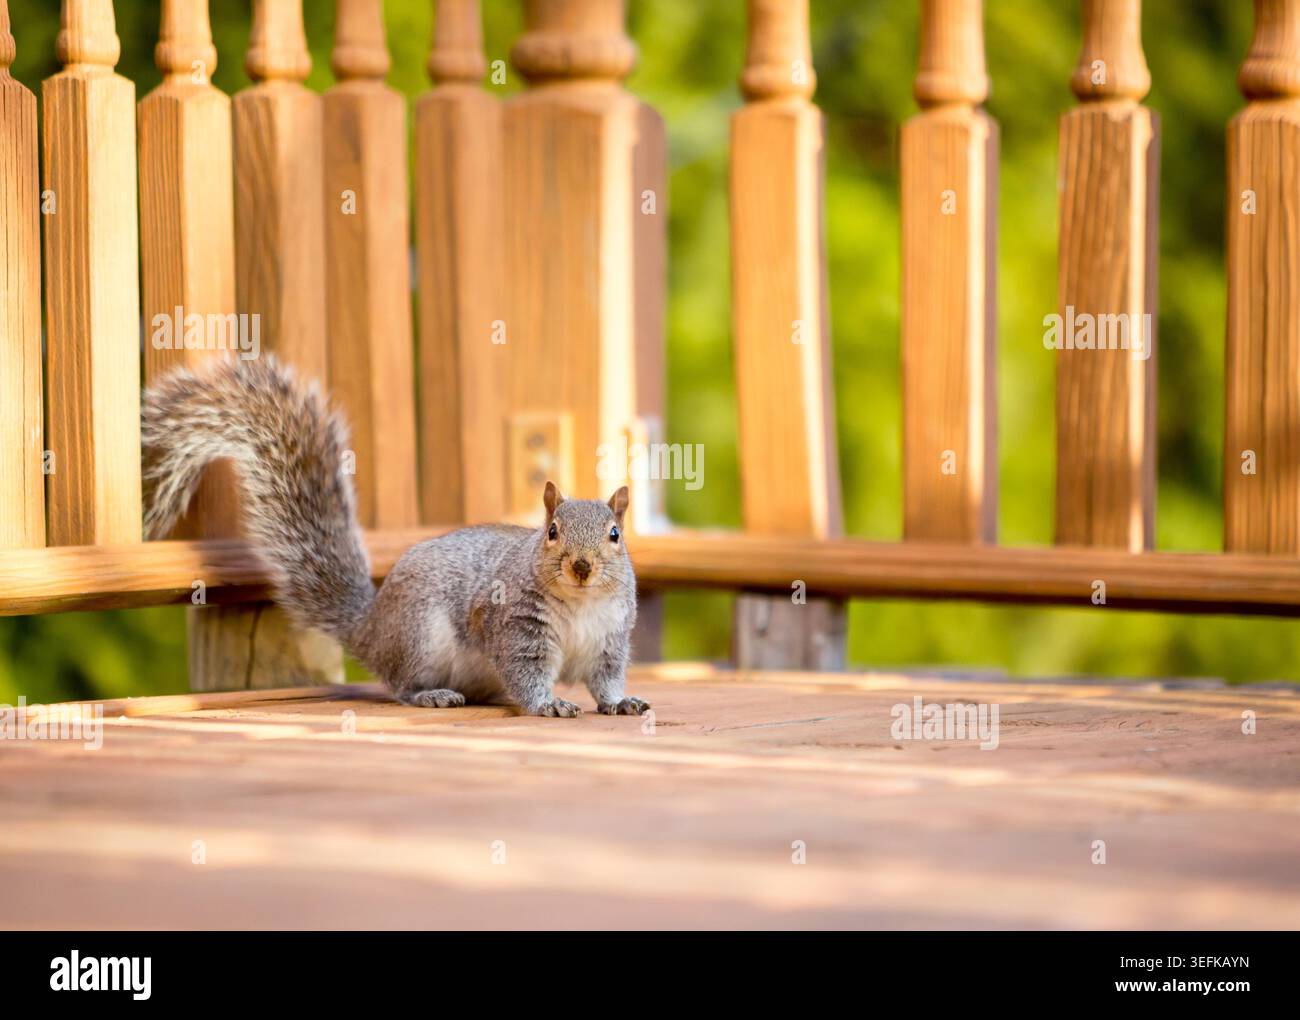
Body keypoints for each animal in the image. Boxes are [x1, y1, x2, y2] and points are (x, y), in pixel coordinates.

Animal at [139, 355, 649, 719]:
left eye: (615, 534)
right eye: (552, 532)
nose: (580, 567)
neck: (580, 603)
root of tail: (370, 628)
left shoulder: (611, 639)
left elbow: (606, 679)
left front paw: (620, 702)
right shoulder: (516, 627)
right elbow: (527, 673)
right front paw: (548, 703)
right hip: (420, 637)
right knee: (403, 685)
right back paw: (432, 696)